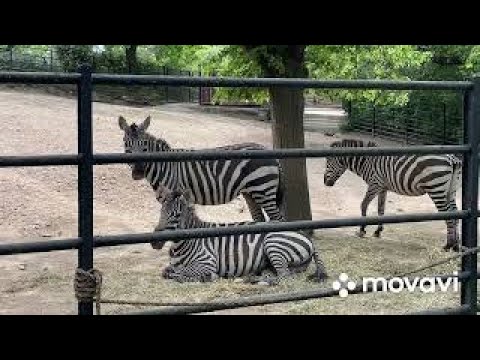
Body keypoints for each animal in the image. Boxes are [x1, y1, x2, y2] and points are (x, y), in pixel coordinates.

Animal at [156, 187, 328, 286]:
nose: (155, 242)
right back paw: (253, 278)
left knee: (284, 277)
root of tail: (305, 235)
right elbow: (167, 271)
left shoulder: (207, 263)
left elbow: (180, 273)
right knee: (281, 273)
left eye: (176, 215)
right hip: (276, 261)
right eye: (161, 212)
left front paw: (206, 278)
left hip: (274, 244)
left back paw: (258, 281)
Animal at [322, 139, 462, 252]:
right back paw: (456, 245)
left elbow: (364, 205)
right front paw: (378, 231)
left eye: (328, 162)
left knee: (448, 214)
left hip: (436, 188)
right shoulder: (383, 188)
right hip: (450, 190)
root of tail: (452, 158)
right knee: (455, 212)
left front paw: (362, 230)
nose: (325, 182)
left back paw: (448, 245)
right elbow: (381, 209)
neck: (367, 161)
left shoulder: (375, 184)